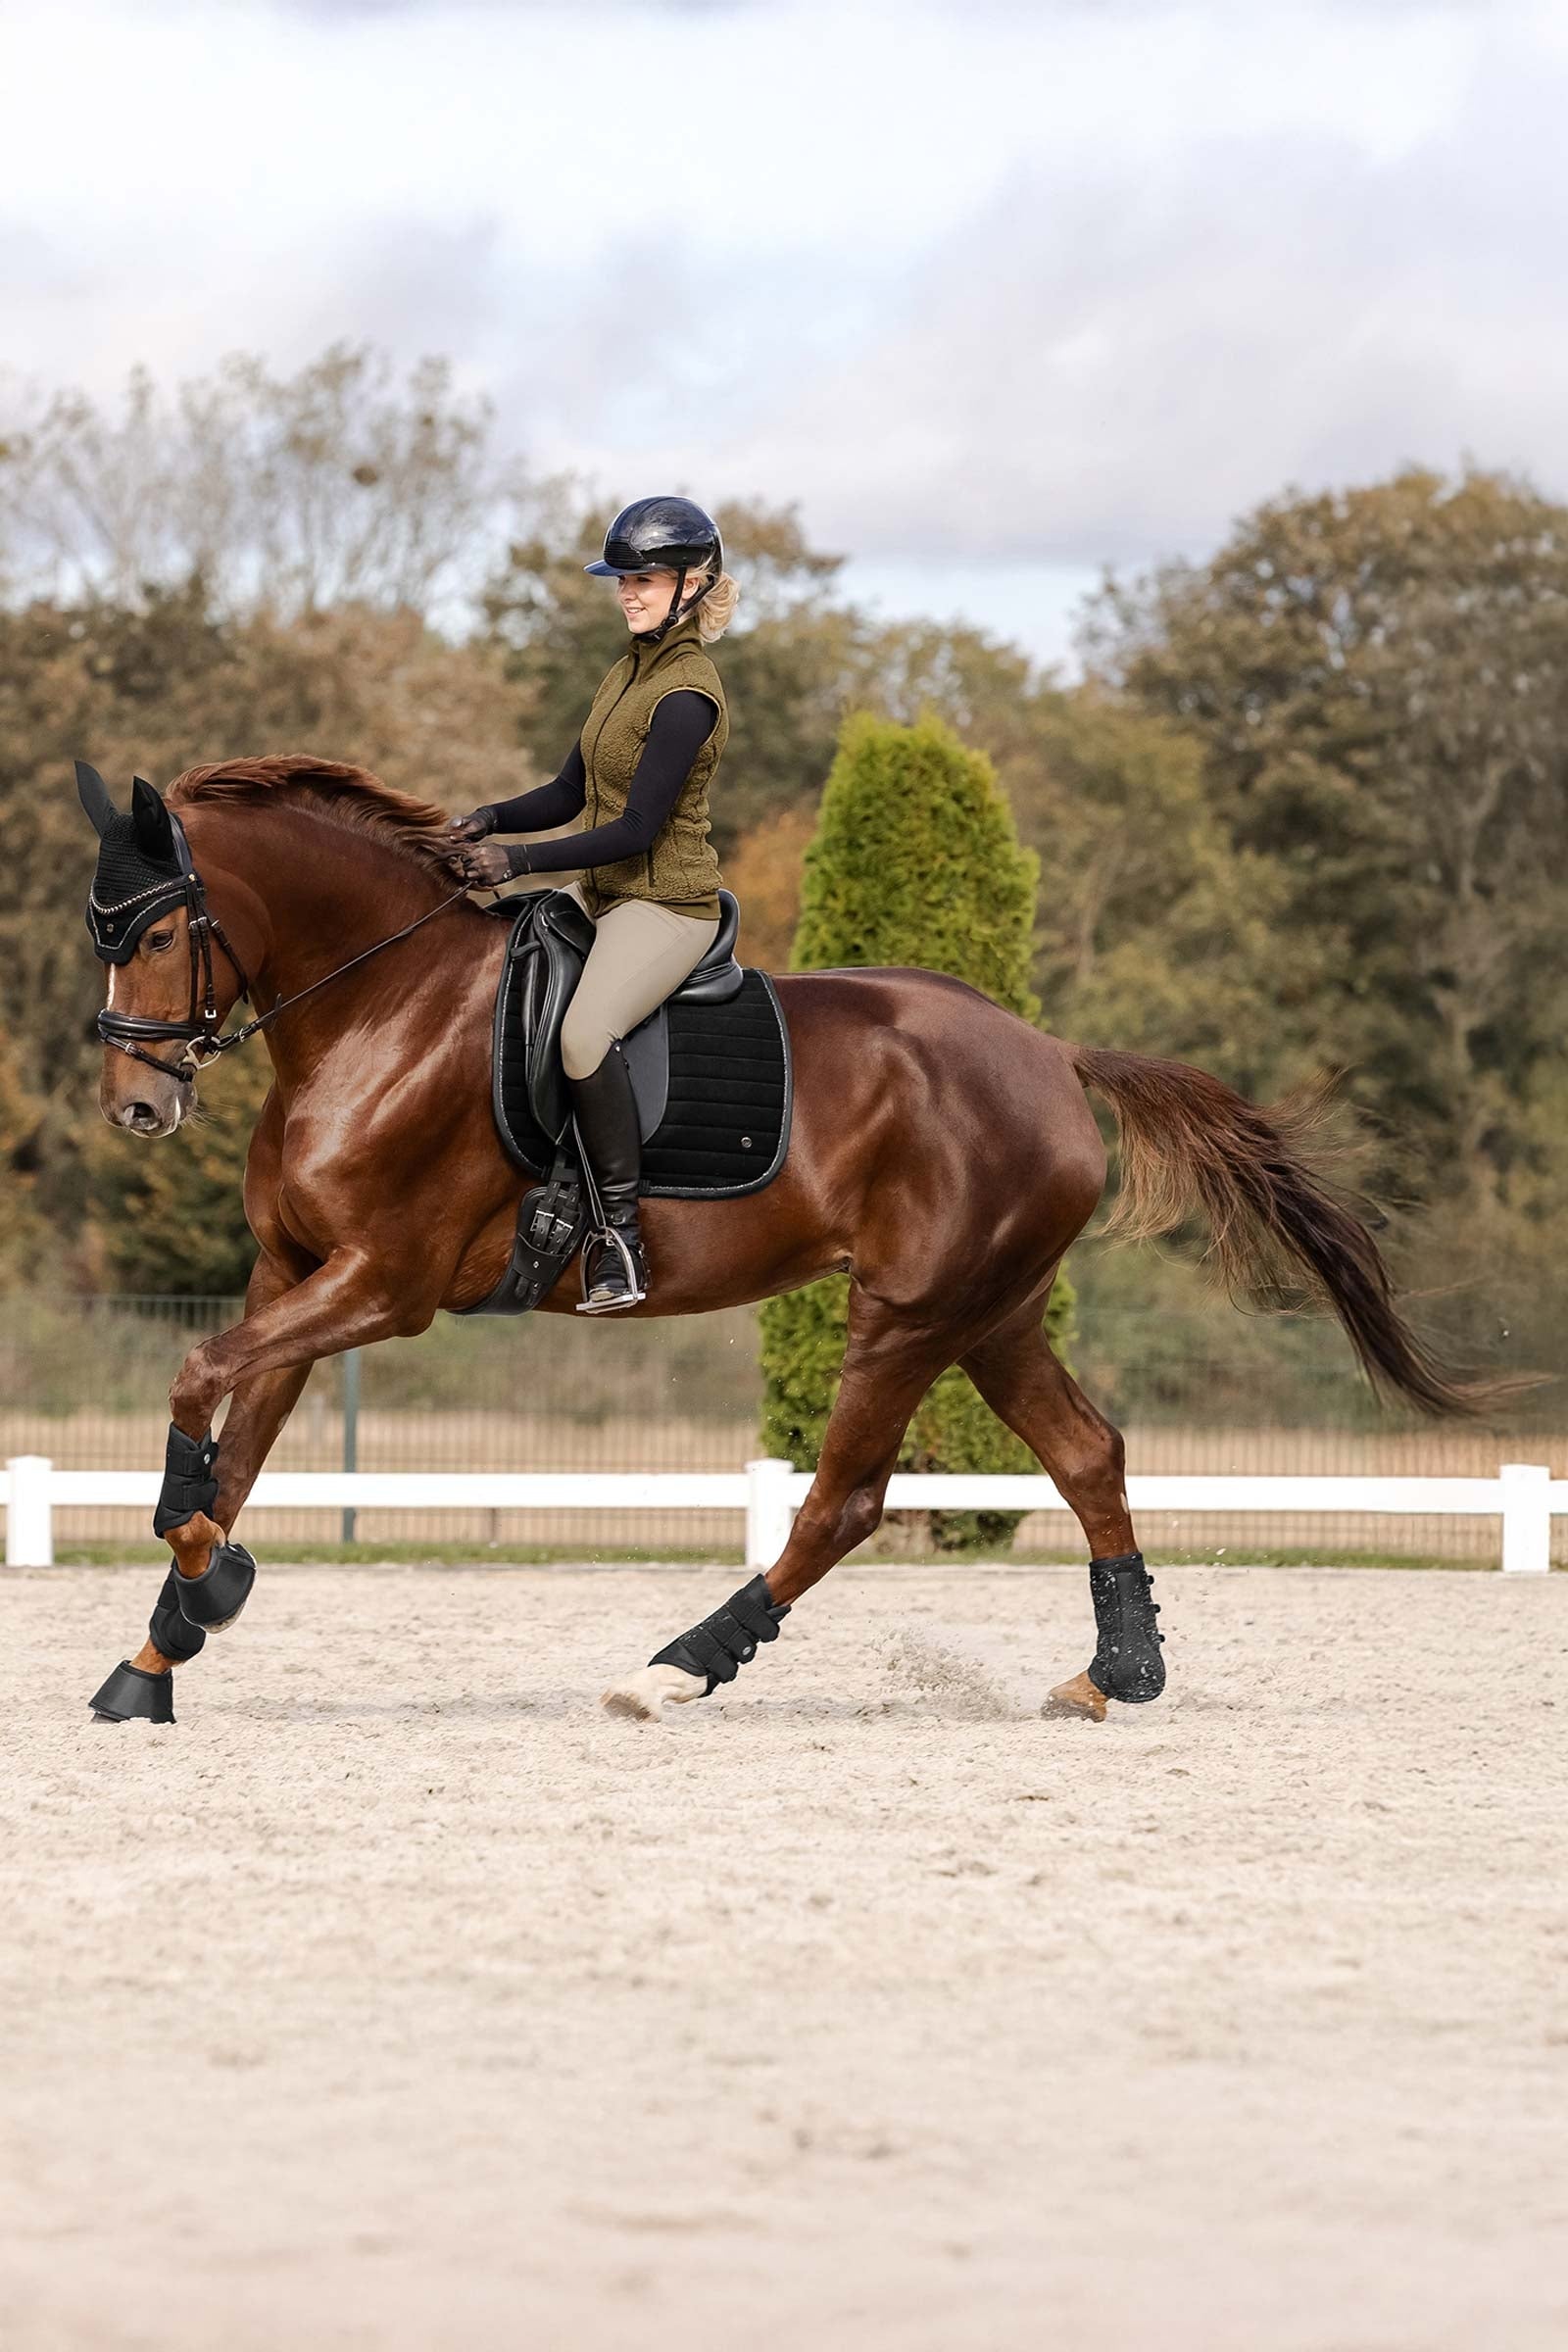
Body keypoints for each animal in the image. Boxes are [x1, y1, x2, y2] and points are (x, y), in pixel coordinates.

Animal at [79, 754, 1480, 1724]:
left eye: (158, 932)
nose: (137, 1107)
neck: (386, 1008)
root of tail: (1048, 1052)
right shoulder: (295, 1274)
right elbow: (235, 1445)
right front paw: (158, 1654)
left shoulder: (384, 1284)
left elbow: (198, 1386)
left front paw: (206, 1582)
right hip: (993, 1313)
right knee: (1089, 1456)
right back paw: (1113, 1676)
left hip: (907, 1314)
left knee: (843, 1503)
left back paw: (675, 1671)